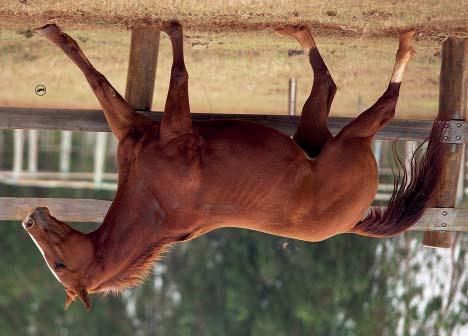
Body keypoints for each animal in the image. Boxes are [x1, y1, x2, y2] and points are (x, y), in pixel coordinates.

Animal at [22, 23, 446, 310]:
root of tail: (354, 221)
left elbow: (106, 79)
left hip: (327, 135)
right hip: (333, 135)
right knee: (346, 90)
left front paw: (53, 32)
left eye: (58, 262)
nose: (30, 219)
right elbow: (135, 76)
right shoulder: (156, 128)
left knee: (352, 90)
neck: (155, 207)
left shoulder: (147, 128)